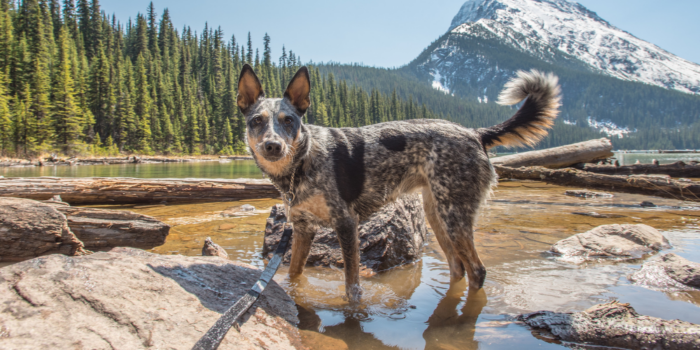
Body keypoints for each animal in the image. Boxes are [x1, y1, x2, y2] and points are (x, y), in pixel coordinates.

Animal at [238, 65, 560, 300]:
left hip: (454, 216)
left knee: (477, 271)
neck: (303, 162)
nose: (273, 146)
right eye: (256, 121)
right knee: (457, 267)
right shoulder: (303, 229)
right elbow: (294, 274)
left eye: (289, 120)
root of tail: (475, 133)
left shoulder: (346, 224)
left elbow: (352, 286)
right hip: (437, 214)